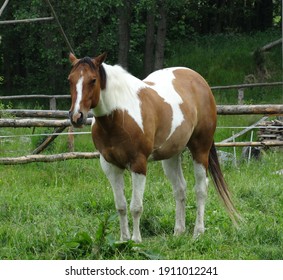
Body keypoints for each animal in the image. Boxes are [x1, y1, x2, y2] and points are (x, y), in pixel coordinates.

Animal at [67, 52, 241, 243]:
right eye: (70, 79)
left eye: (93, 80)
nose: (77, 116)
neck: (120, 115)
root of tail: (199, 81)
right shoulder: (110, 166)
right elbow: (121, 206)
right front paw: (123, 239)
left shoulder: (138, 164)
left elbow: (136, 206)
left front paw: (136, 241)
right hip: (171, 156)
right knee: (180, 189)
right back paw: (178, 231)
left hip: (200, 149)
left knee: (201, 189)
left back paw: (198, 232)